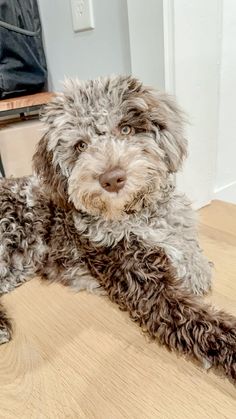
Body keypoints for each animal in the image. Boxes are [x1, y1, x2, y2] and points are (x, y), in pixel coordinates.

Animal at [0, 76, 235, 384]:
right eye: (80, 146)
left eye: (125, 128)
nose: (112, 179)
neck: (140, 216)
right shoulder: (149, 289)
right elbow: (206, 326)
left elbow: (190, 252)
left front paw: (197, 270)